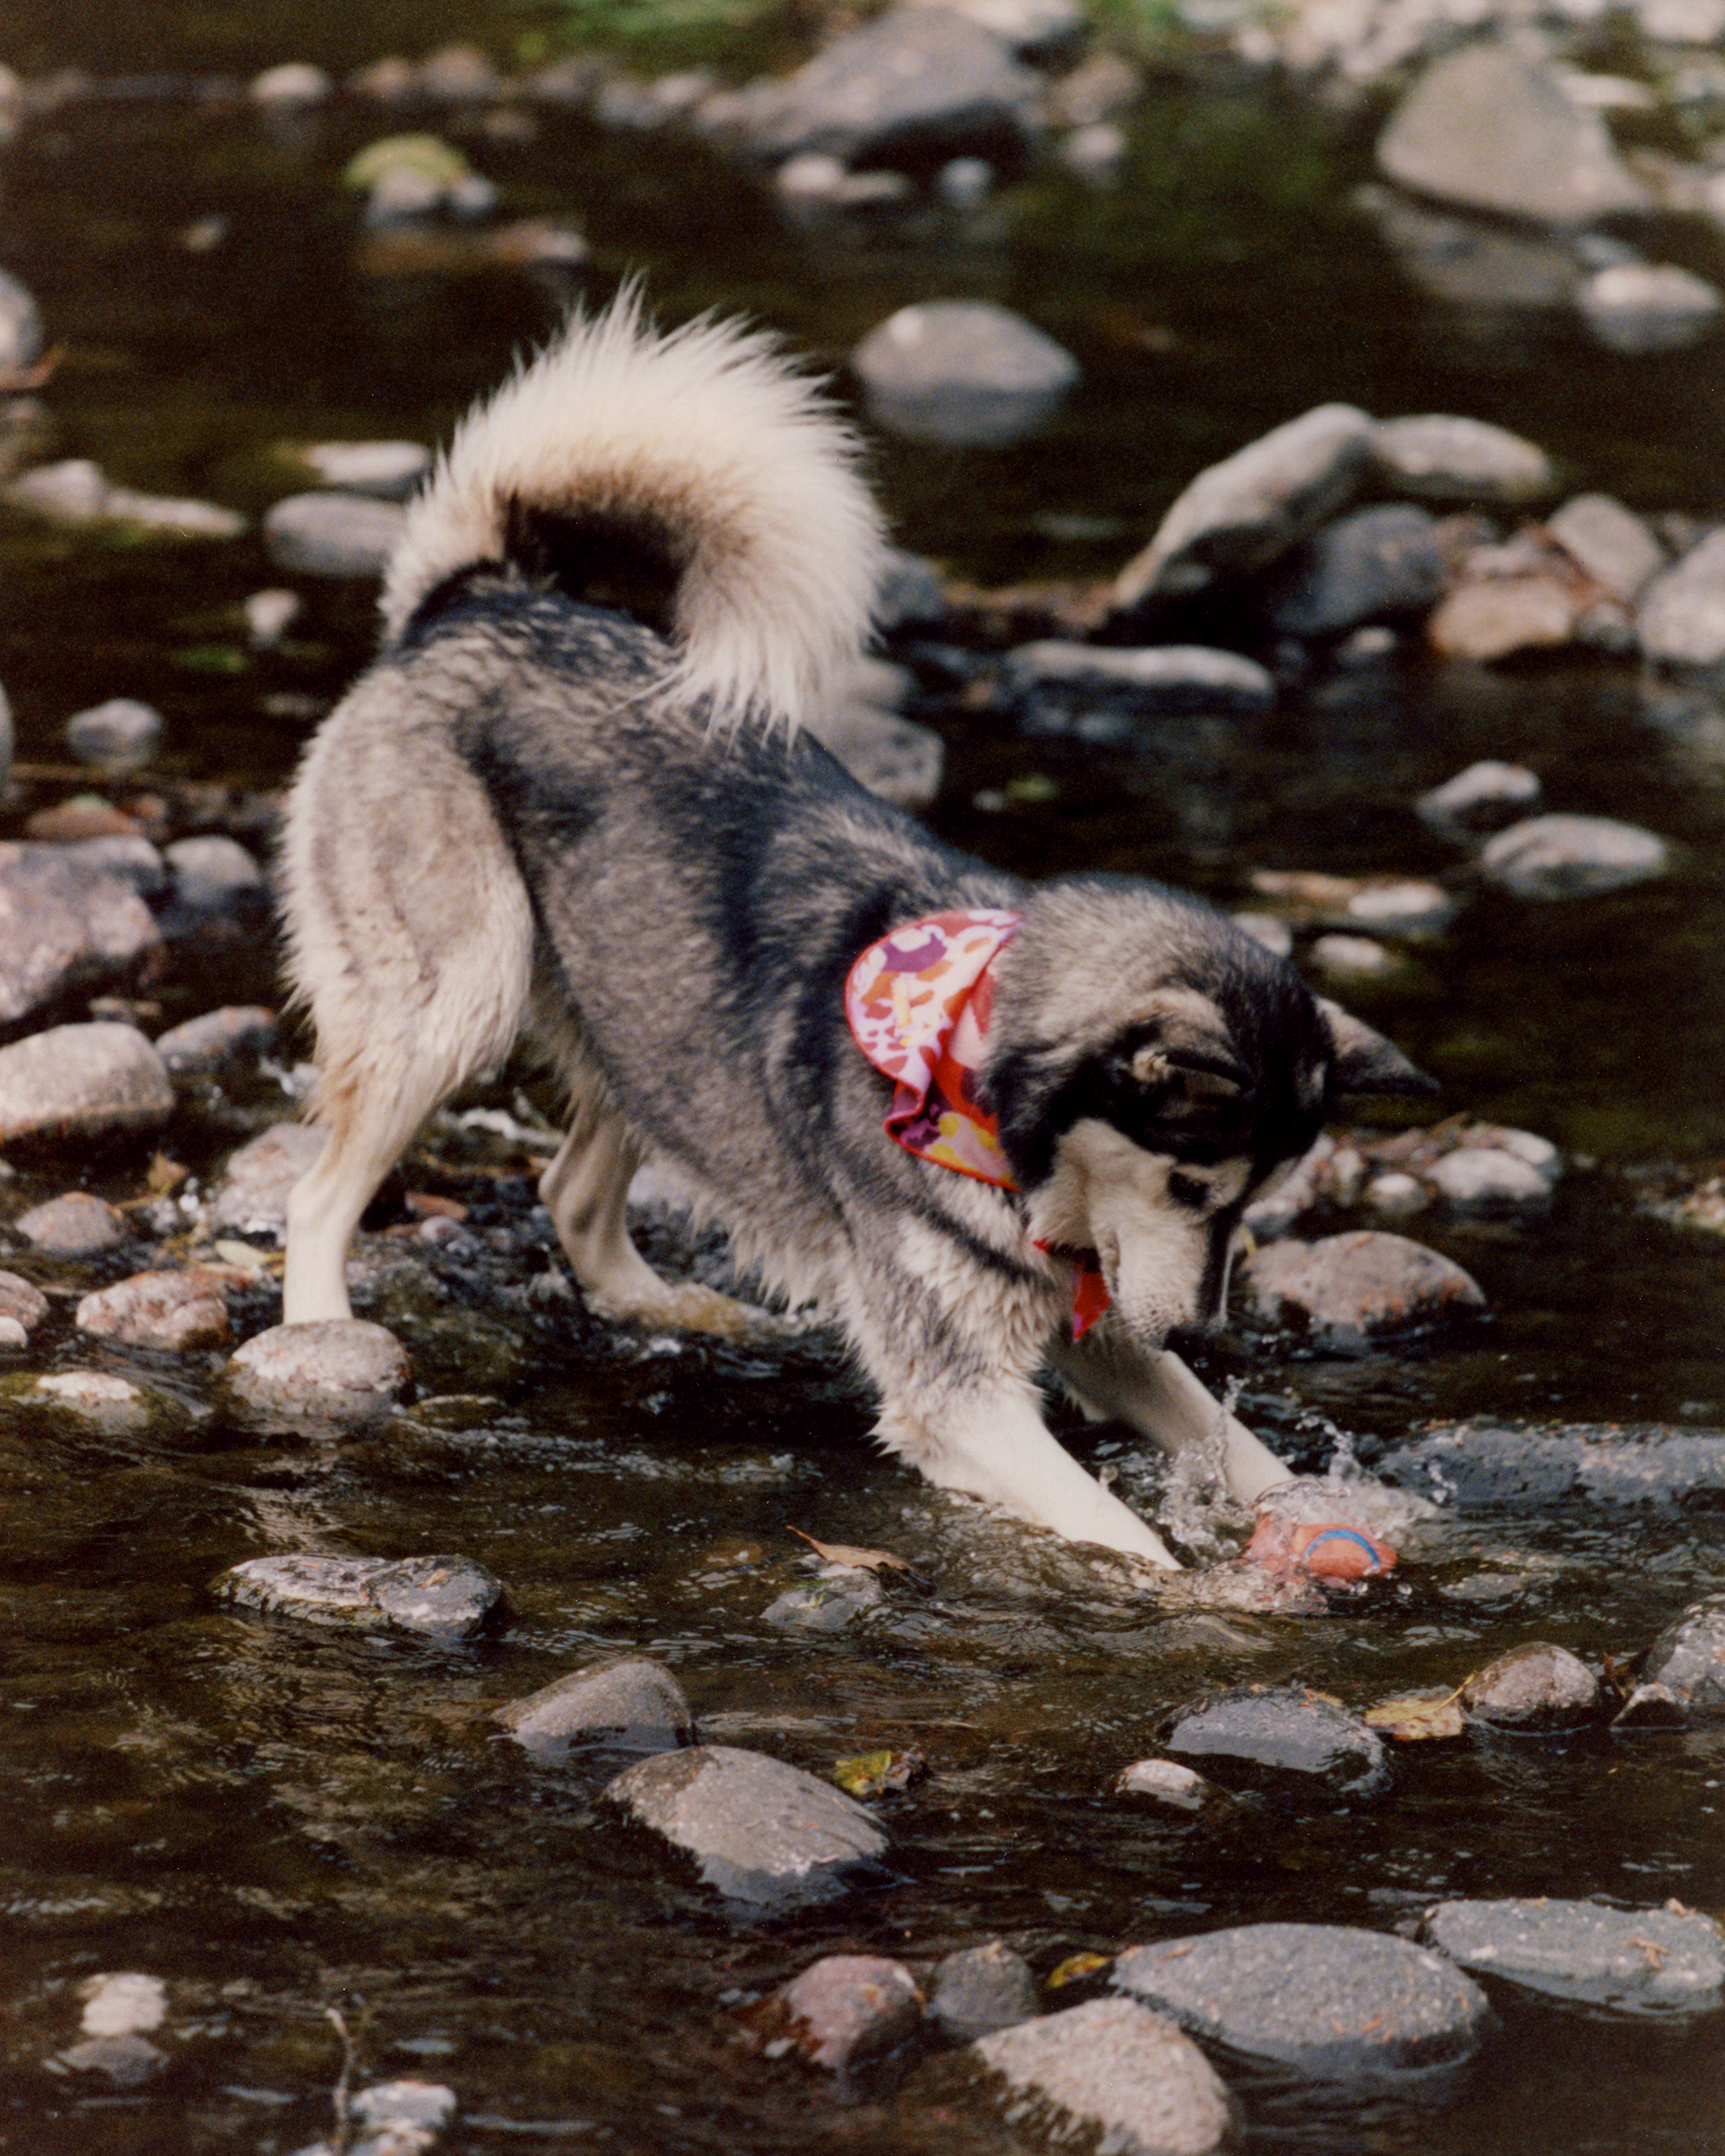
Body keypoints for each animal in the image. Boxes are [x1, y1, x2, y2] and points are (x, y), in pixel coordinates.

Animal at [280, 291, 1431, 1569]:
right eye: (1191, 1185)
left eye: (1252, 1203)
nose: (1203, 1339)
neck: (972, 1072)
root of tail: (476, 600)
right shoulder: (963, 1392)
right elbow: (1123, 1534)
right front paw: (1197, 1587)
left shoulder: (1101, 1331)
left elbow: (1238, 1453)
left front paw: (1320, 1516)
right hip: (457, 1000)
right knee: (317, 1200)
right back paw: (323, 1337)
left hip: (655, 1017)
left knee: (573, 1193)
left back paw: (680, 1309)